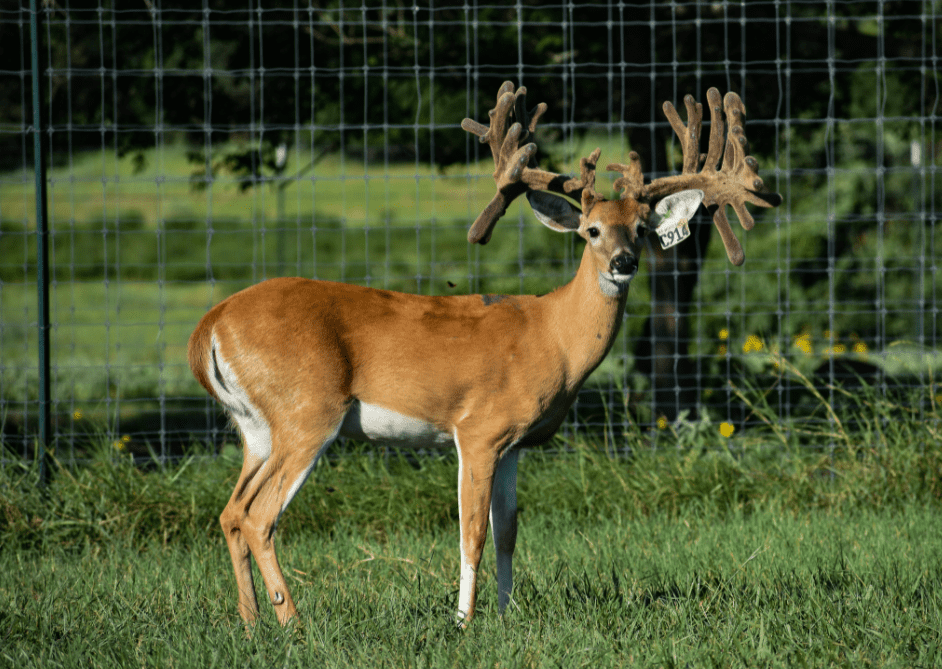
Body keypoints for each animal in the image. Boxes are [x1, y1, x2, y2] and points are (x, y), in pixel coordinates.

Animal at [188, 81, 781, 628]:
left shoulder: (516, 443)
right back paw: (292, 621)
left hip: (256, 426)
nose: (624, 262)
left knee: (231, 511)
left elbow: (508, 533)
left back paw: (251, 621)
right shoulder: (478, 429)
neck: (553, 336)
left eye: (640, 229)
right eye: (590, 230)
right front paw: (463, 621)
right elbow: (470, 533)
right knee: (259, 516)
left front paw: (505, 613)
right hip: (307, 411)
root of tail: (209, 327)